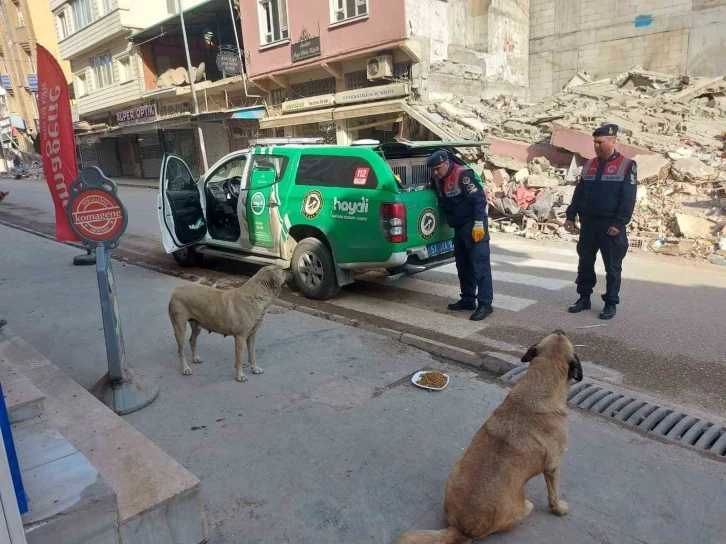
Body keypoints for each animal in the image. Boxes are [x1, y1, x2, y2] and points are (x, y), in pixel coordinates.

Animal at [398, 330, 584, 540]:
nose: (561, 330)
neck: (539, 386)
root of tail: (463, 529)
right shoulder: (554, 465)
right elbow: (553, 494)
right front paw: (558, 508)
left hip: (456, 467)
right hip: (526, 506)